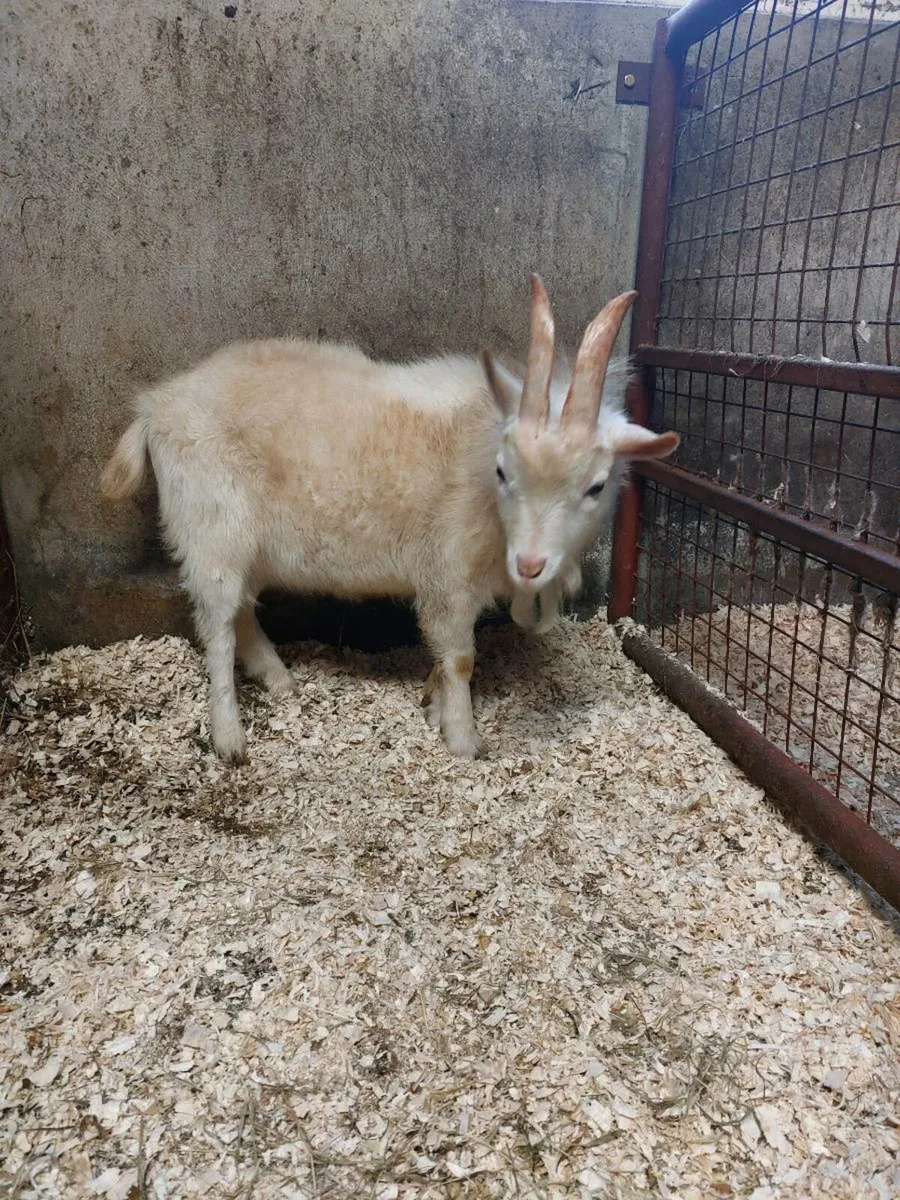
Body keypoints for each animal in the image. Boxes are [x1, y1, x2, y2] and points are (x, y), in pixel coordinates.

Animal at [101, 277, 679, 762]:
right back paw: (230, 738)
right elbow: (459, 657)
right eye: (502, 470)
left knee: (241, 610)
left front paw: (435, 707)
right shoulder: (448, 571)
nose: (531, 565)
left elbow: (445, 659)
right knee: (217, 625)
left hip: (249, 544)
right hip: (210, 527)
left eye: (596, 486)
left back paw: (279, 679)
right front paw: (463, 740)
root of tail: (157, 405)